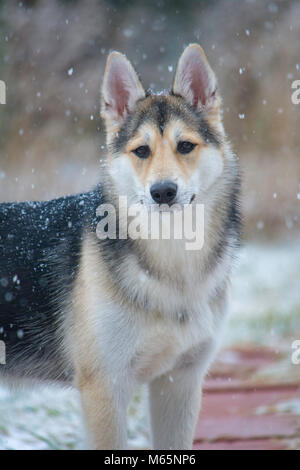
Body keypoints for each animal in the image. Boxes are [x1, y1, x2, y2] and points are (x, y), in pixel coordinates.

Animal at [0, 45, 240, 452]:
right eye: (141, 151)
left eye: (186, 146)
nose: (163, 192)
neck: (172, 258)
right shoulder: (105, 388)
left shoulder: (180, 382)